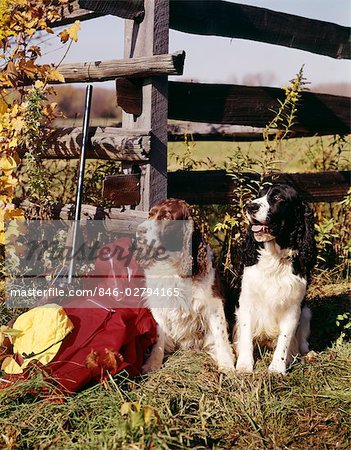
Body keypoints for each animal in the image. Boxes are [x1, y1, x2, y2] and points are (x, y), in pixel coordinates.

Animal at [136, 199, 235, 374]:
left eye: (166, 217)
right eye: (150, 214)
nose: (139, 231)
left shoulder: (213, 303)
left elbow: (220, 334)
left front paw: (227, 364)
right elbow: (159, 336)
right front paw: (153, 363)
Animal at [235, 181, 318, 374]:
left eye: (278, 197)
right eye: (259, 194)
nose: (250, 206)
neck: (275, 258)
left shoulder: (293, 308)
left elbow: (285, 339)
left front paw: (277, 368)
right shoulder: (246, 302)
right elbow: (246, 335)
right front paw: (244, 365)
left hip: (306, 312)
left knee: (302, 342)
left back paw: (308, 355)